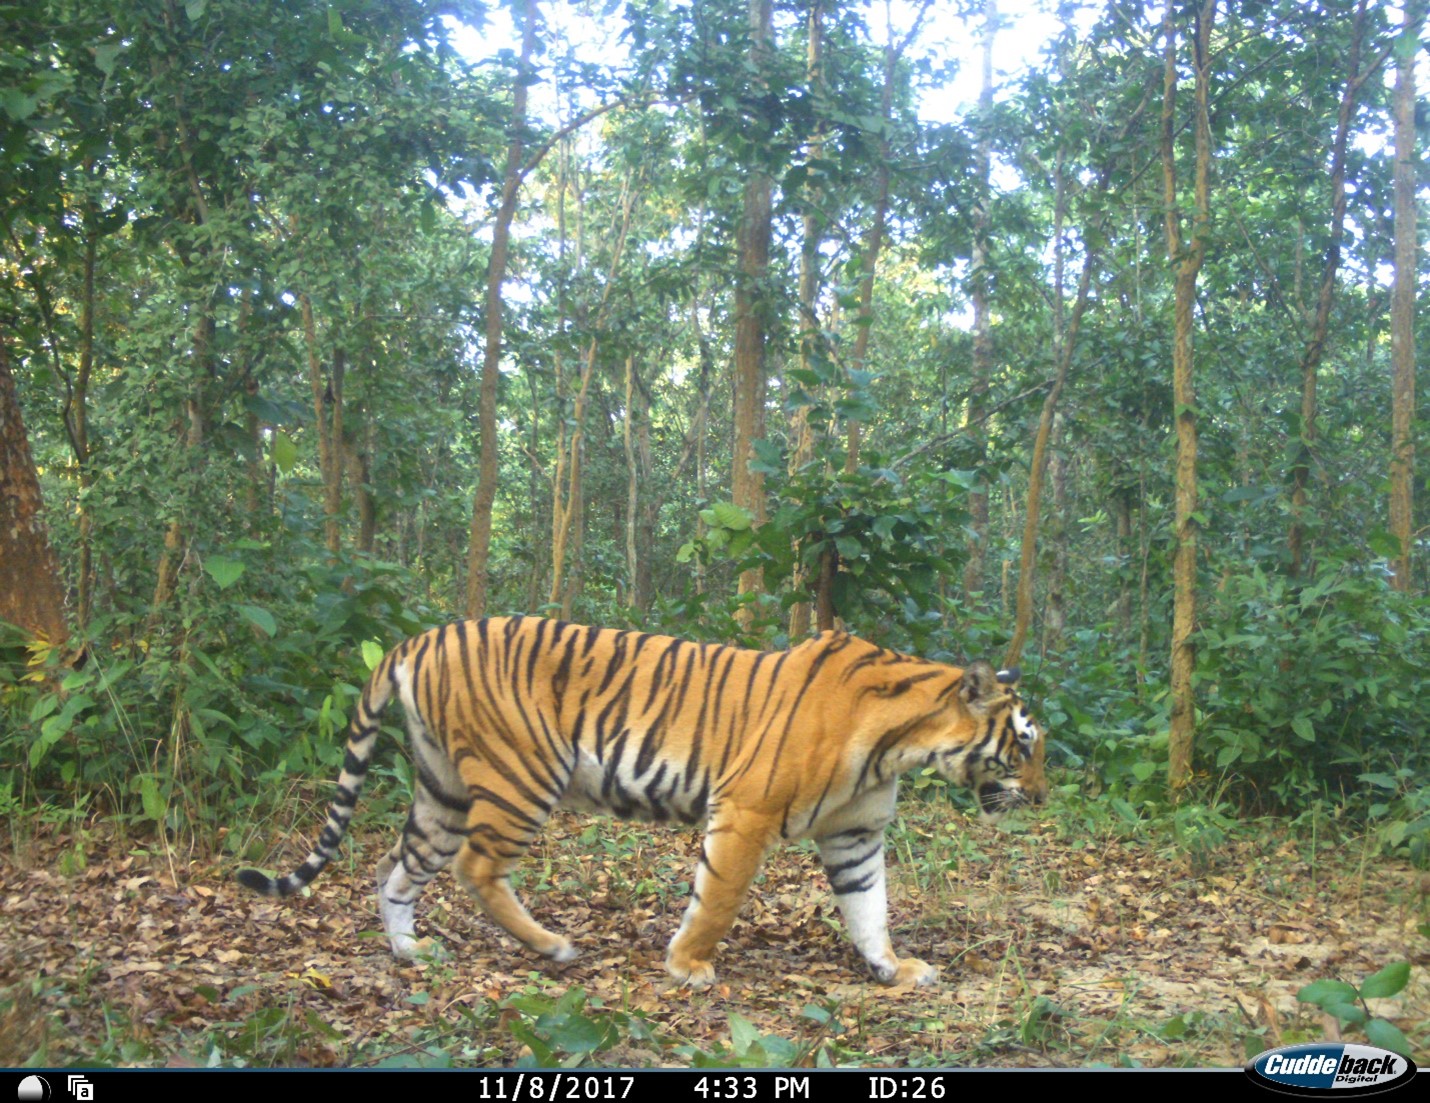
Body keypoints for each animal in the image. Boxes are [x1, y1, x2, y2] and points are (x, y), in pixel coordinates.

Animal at [237, 618, 1052, 989]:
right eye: (1024, 744)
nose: (1043, 797)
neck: (900, 743)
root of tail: (420, 636)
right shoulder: (747, 812)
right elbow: (718, 898)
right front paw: (688, 965)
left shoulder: (856, 835)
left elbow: (869, 907)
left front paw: (894, 968)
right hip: (520, 775)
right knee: (476, 867)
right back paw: (552, 946)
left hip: (441, 791)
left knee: (394, 869)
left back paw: (412, 951)